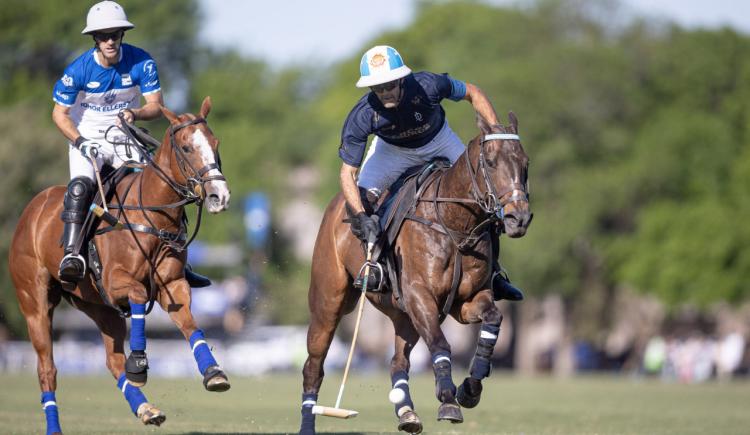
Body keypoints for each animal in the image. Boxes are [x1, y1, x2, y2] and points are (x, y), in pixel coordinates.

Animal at [8, 97, 231, 434]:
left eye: (215, 144)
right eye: (186, 147)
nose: (220, 196)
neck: (152, 215)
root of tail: (30, 210)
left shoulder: (173, 285)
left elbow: (192, 326)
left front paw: (214, 373)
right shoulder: (115, 283)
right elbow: (138, 295)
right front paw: (139, 363)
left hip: (98, 306)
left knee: (112, 362)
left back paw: (147, 409)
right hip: (35, 303)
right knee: (47, 369)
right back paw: (55, 427)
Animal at [300, 113, 536, 435]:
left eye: (525, 162)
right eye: (490, 161)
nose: (518, 218)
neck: (456, 226)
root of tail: (336, 204)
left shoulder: (468, 300)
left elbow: (493, 320)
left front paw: (469, 389)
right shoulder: (420, 296)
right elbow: (440, 344)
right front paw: (448, 400)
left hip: (403, 316)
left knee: (397, 362)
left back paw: (407, 413)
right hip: (329, 302)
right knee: (313, 364)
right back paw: (308, 423)